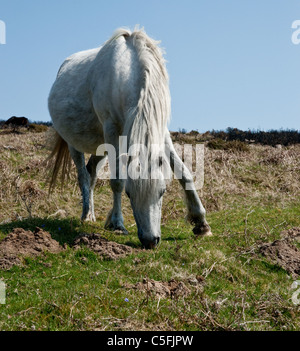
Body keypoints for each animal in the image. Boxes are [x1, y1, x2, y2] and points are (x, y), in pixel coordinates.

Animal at [48, 27, 211, 249]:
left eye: (162, 192)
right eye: (129, 194)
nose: (150, 241)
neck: (130, 69)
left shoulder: (161, 131)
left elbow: (183, 172)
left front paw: (201, 223)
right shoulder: (112, 130)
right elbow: (117, 181)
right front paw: (117, 224)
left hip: (101, 147)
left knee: (91, 171)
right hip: (76, 144)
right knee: (82, 175)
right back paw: (86, 215)